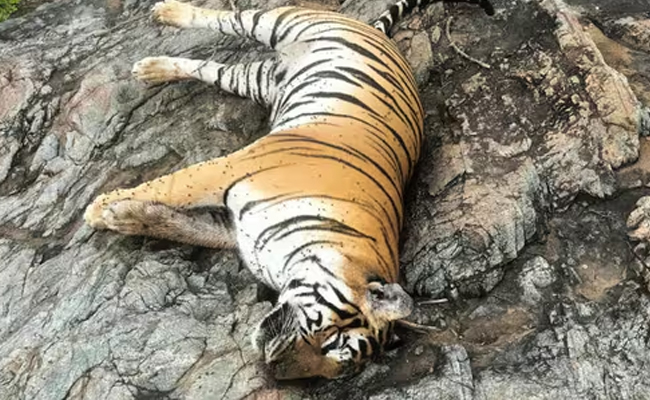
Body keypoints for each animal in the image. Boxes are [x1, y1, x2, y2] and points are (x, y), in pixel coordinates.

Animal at [84, 0, 493, 379]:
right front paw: (97, 208)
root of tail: (377, 33)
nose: (273, 368)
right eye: (332, 340)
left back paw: (151, 69)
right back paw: (166, 13)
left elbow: (176, 224)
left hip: (256, 80)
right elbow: (170, 187)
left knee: (212, 70)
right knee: (226, 18)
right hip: (279, 22)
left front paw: (120, 217)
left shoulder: (231, 230)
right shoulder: (228, 170)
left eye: (334, 367)